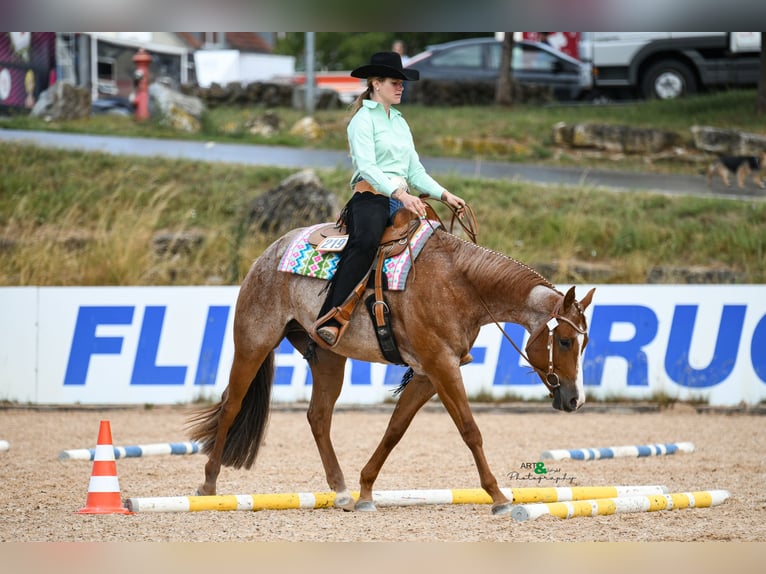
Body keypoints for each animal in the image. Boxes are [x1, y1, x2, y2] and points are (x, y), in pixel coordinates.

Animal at [189, 207, 596, 516]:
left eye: (584, 343)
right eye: (563, 340)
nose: (575, 399)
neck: (459, 283)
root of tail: (268, 254)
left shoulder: (429, 373)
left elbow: (395, 429)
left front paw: (366, 491)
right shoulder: (442, 366)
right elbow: (470, 430)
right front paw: (497, 497)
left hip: (328, 358)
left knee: (318, 417)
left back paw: (341, 490)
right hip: (253, 342)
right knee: (232, 405)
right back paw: (208, 484)